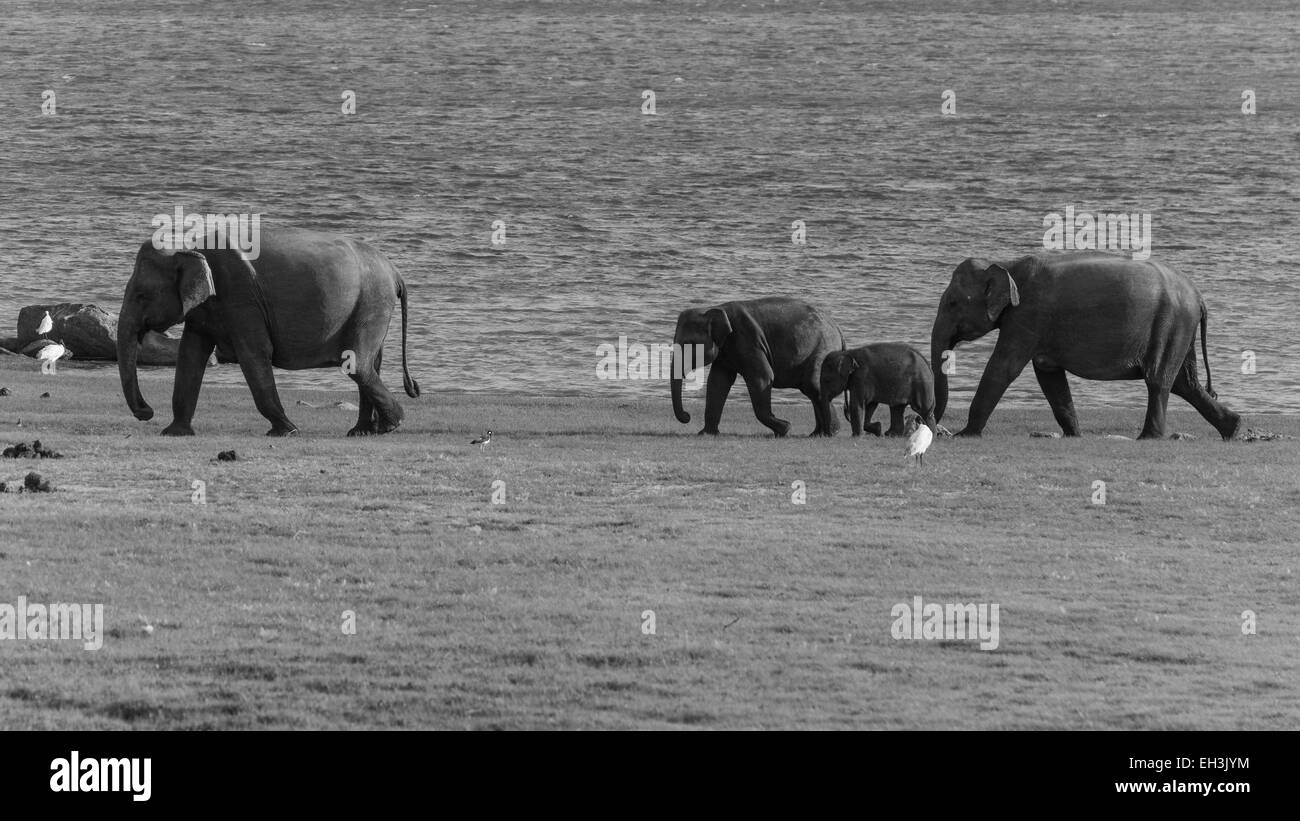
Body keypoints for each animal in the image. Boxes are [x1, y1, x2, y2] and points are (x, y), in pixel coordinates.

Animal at [118, 226, 416, 436]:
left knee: (357, 364)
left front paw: (287, 431)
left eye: (142, 295)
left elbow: (254, 354)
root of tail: (395, 272)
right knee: (371, 365)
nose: (146, 411)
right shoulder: (206, 310)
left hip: (371, 304)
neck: (189, 245)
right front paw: (174, 433)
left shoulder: (241, 297)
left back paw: (391, 425)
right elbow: (190, 355)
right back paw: (361, 431)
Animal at [670, 294, 842, 436]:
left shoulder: (748, 340)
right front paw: (706, 434)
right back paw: (817, 434)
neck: (715, 308)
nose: (688, 416)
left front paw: (785, 429)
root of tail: (838, 329)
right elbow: (718, 382)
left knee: (813, 385)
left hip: (823, 349)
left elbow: (762, 378)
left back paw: (830, 433)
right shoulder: (726, 351)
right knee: (811, 389)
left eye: (689, 343)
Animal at [930, 253, 1242, 439]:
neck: (1007, 264)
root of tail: (1198, 297)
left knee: (1159, 380)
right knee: (1184, 383)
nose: (939, 431)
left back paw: (1148, 438)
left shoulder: (1028, 316)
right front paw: (1074, 436)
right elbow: (1049, 375)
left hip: (1171, 324)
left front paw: (966, 435)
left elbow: (1003, 368)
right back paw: (1233, 428)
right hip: (1181, 328)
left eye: (953, 303)